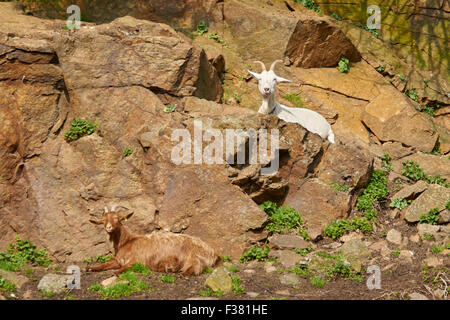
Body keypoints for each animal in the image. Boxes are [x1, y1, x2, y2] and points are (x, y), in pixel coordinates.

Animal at [87, 206, 221, 276]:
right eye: (103, 220)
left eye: (117, 218)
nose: (108, 227)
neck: (126, 242)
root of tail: (213, 253)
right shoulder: (117, 260)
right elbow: (105, 264)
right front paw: (91, 268)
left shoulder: (137, 260)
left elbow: (121, 269)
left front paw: (115, 272)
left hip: (194, 257)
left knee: (194, 269)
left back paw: (175, 271)